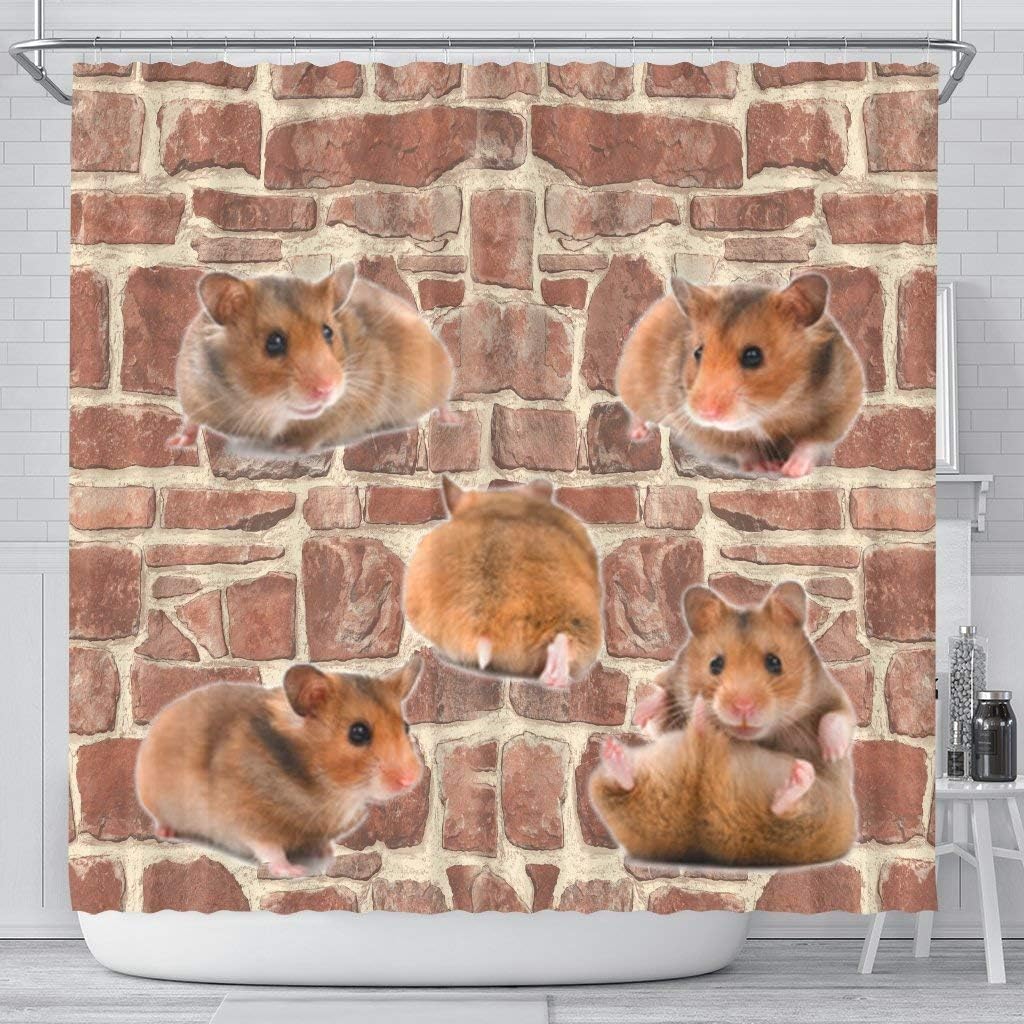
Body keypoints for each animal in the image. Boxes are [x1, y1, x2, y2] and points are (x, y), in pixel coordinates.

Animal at [135, 656, 423, 878]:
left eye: (406, 727)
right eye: (358, 733)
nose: (410, 779)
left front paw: (326, 853)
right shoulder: (248, 819)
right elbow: (269, 848)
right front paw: (294, 870)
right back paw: (165, 831)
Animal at [169, 264, 453, 455]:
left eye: (328, 332)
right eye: (274, 343)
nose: (327, 389)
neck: (262, 406)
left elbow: (318, 429)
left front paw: (288, 449)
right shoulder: (193, 388)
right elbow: (191, 419)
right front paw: (175, 442)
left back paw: (451, 420)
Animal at [615, 275, 864, 477]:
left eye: (753, 356)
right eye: (698, 352)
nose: (705, 413)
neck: (773, 411)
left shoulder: (841, 404)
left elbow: (812, 441)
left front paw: (791, 470)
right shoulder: (706, 432)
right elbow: (742, 448)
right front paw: (764, 466)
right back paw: (637, 434)